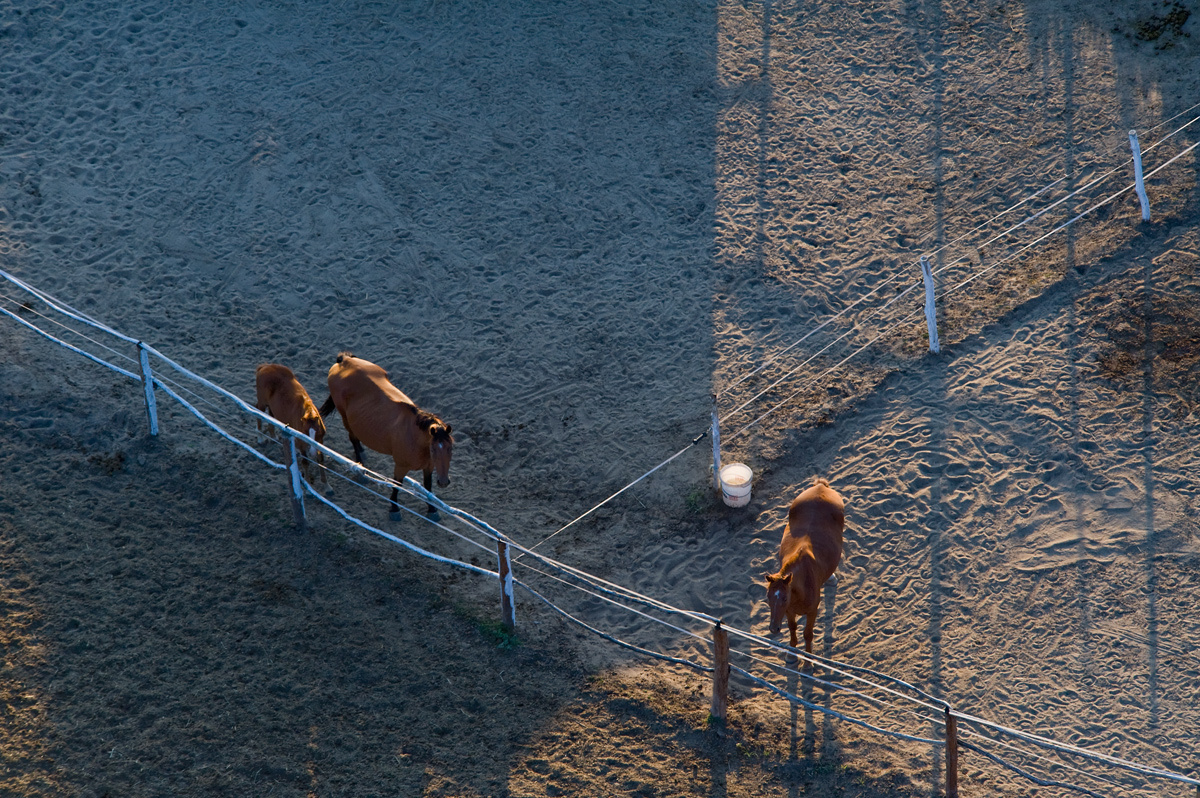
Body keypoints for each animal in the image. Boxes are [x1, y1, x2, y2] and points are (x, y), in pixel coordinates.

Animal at [316, 352, 451, 520]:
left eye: (450, 449)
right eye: (433, 449)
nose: (444, 482)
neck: (415, 438)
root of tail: (344, 360)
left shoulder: (429, 466)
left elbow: (428, 487)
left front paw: (432, 510)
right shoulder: (400, 466)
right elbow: (397, 485)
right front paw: (394, 508)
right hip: (345, 418)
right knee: (353, 438)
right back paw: (360, 470)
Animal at [763, 480, 849, 652]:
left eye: (784, 598)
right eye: (768, 597)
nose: (773, 629)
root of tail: (820, 486)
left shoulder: (812, 612)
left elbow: (808, 634)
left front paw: (808, 658)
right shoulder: (789, 611)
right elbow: (792, 627)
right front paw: (792, 653)